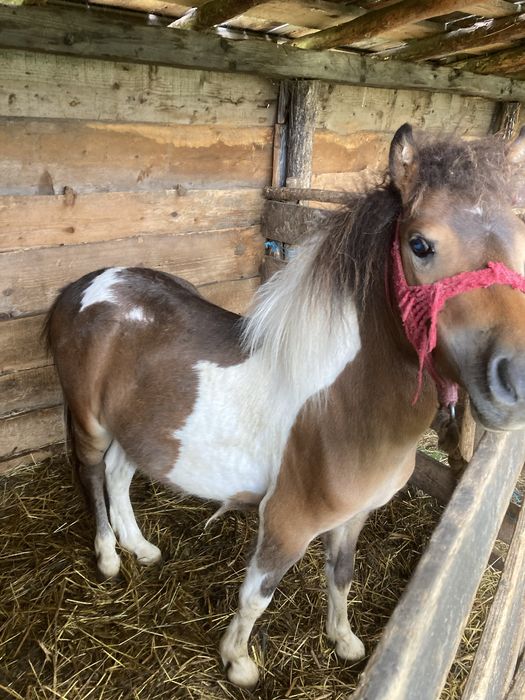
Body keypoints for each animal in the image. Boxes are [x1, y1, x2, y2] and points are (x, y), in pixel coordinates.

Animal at [44, 123, 525, 688]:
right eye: (420, 244)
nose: (515, 379)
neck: (343, 407)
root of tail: (85, 285)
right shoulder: (286, 523)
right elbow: (257, 595)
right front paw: (238, 663)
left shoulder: (354, 517)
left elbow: (342, 576)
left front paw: (344, 640)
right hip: (90, 422)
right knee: (93, 474)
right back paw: (107, 557)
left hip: (142, 429)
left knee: (120, 473)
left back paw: (140, 547)